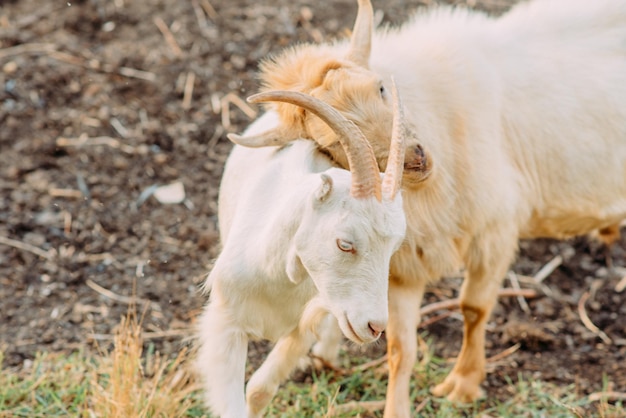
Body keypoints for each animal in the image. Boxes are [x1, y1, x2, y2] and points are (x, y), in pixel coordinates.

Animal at [229, 0, 624, 414]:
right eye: (330, 142)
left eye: (381, 87)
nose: (415, 159)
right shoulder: (404, 269)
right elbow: (399, 347)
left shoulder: (496, 230)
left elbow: (473, 308)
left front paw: (463, 385)